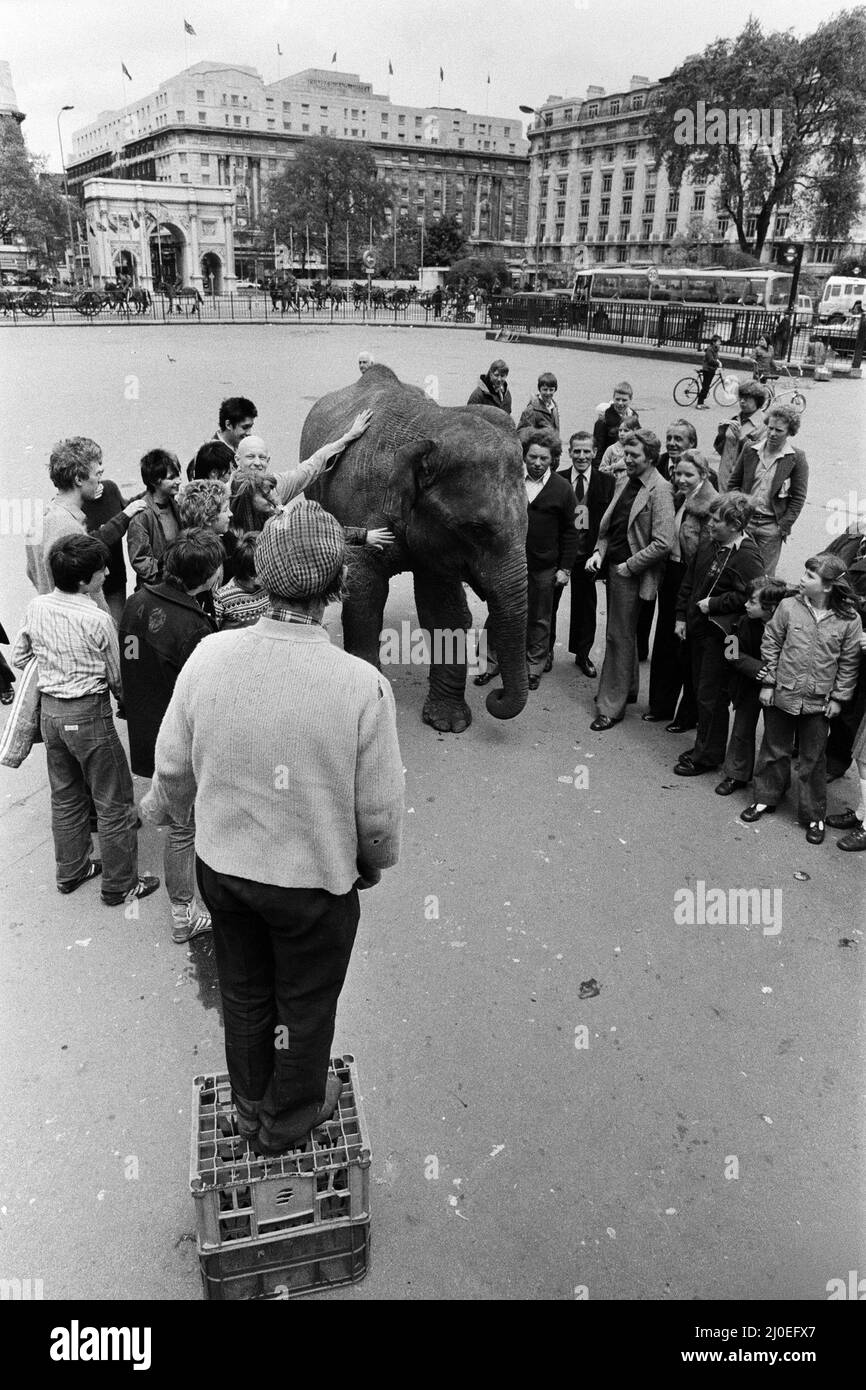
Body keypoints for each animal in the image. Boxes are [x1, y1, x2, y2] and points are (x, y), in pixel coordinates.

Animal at [301, 364, 530, 733]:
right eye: (476, 529)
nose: (494, 696)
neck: (430, 428)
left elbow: (444, 609)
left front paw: (448, 723)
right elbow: (365, 596)